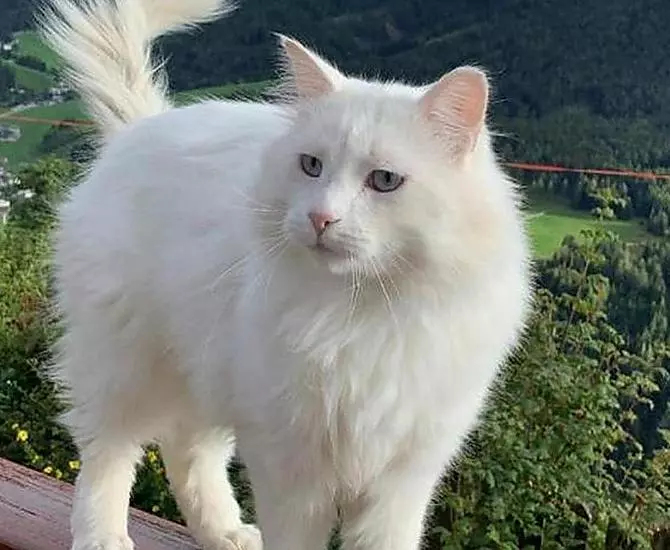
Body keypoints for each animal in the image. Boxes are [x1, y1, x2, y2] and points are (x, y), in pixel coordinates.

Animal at [39, 0, 533, 549]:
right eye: (311, 166)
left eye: (385, 180)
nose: (321, 218)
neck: (363, 314)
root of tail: (144, 126)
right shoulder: (291, 467)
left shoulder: (403, 475)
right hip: (127, 364)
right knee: (108, 450)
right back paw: (103, 535)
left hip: (203, 374)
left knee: (188, 451)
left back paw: (225, 532)